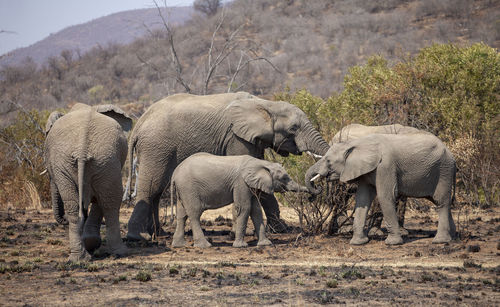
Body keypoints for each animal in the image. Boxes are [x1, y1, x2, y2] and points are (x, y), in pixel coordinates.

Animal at [44, 103, 133, 262]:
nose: (63, 220)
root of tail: (82, 149)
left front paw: (90, 242)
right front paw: (90, 243)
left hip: (98, 162)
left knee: (97, 203)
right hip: (103, 162)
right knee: (108, 202)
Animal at [170, 153, 306, 249]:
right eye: (284, 178)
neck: (261, 163)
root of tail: (174, 173)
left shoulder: (251, 185)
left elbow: (256, 210)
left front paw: (265, 244)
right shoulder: (241, 183)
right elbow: (245, 208)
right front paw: (241, 246)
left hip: (183, 190)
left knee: (182, 215)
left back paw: (179, 245)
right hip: (189, 188)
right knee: (194, 214)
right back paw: (205, 246)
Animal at [304, 134, 458, 247]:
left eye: (328, 161)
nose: (318, 187)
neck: (356, 143)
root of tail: (451, 154)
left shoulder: (386, 166)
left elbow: (386, 197)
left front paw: (393, 243)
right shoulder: (365, 171)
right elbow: (362, 199)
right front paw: (358, 243)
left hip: (444, 170)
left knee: (441, 202)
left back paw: (440, 241)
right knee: (441, 202)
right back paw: (454, 237)